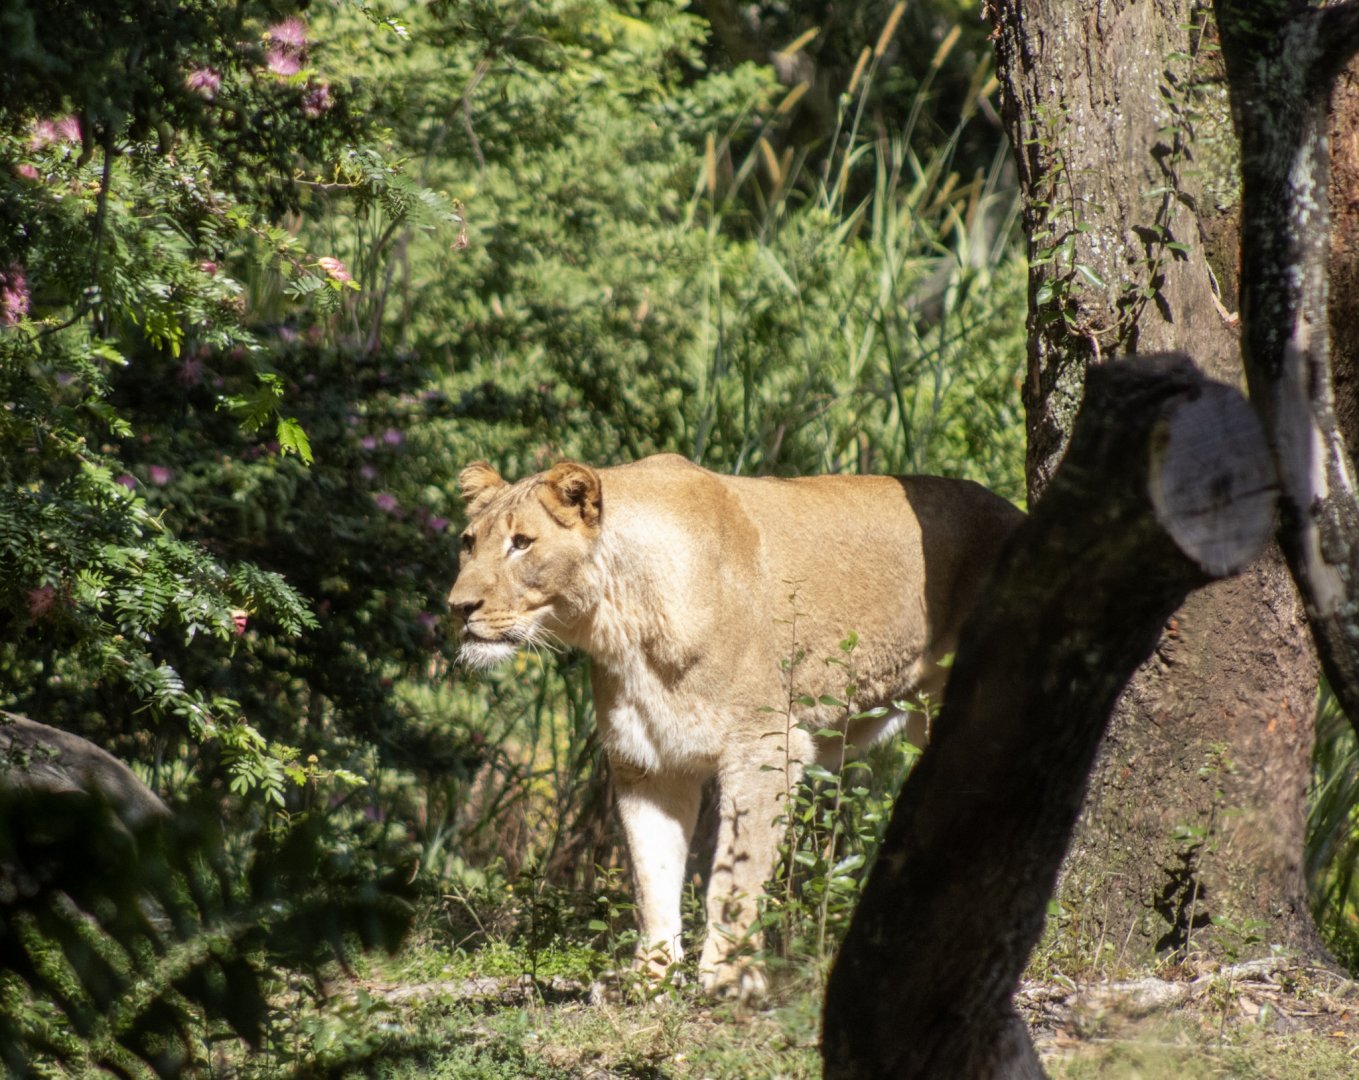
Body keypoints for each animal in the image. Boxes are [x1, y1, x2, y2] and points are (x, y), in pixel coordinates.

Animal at [448, 453, 1021, 1000]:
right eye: (468, 543)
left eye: (522, 543)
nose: (458, 607)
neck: (622, 626)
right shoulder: (647, 765)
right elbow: (652, 877)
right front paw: (650, 978)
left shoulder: (766, 746)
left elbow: (735, 874)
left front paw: (729, 976)